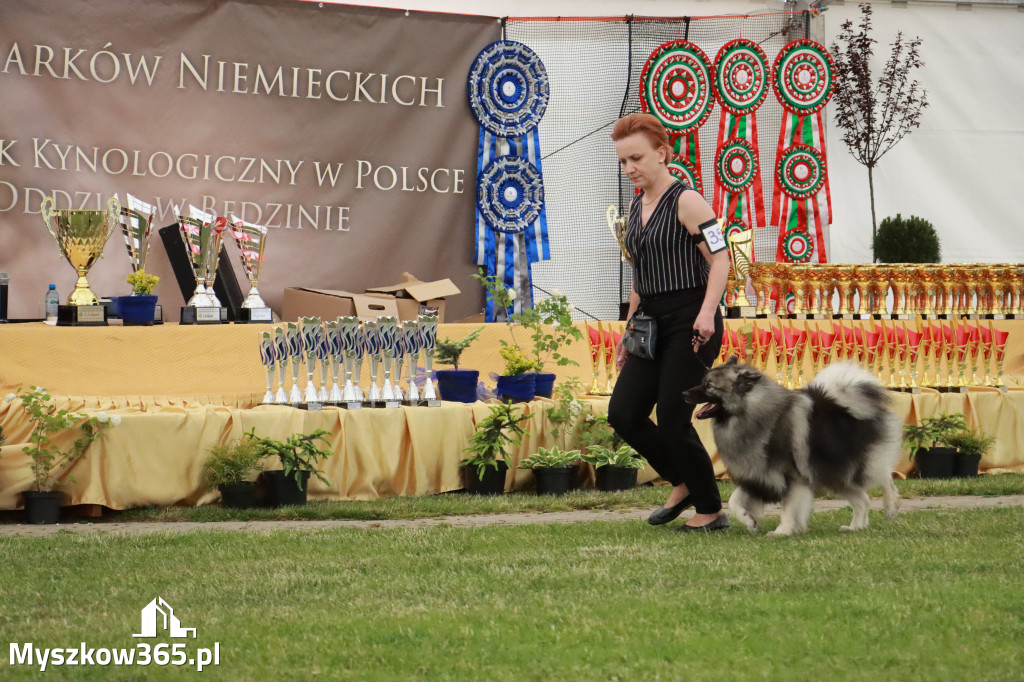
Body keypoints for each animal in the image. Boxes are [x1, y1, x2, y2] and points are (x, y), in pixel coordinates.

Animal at [684, 358, 901, 532]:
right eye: (703, 382)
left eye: (709, 385)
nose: (684, 393)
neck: (751, 416)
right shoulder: (758, 475)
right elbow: (734, 501)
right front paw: (749, 522)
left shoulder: (792, 477)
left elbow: (788, 508)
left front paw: (783, 531)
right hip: (834, 474)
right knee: (863, 500)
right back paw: (855, 527)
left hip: (857, 465)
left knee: (885, 476)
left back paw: (891, 506)